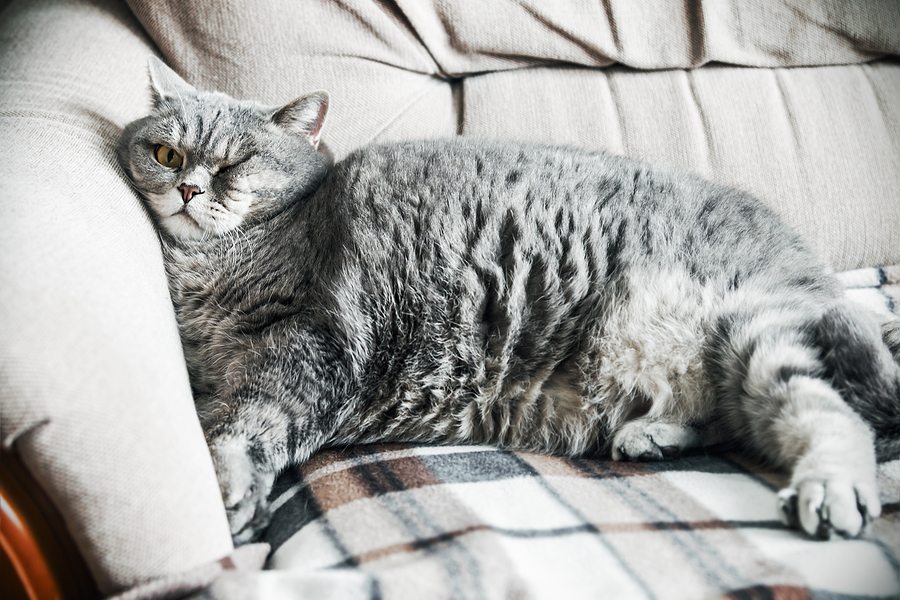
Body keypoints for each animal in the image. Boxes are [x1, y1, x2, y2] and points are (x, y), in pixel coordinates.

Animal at [119, 58, 900, 548]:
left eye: (233, 163)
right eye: (166, 153)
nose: (188, 188)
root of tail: (811, 262)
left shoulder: (312, 344)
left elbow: (245, 427)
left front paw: (230, 490)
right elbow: (228, 415)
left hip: (757, 328)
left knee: (840, 419)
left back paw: (834, 491)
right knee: (741, 421)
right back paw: (654, 435)